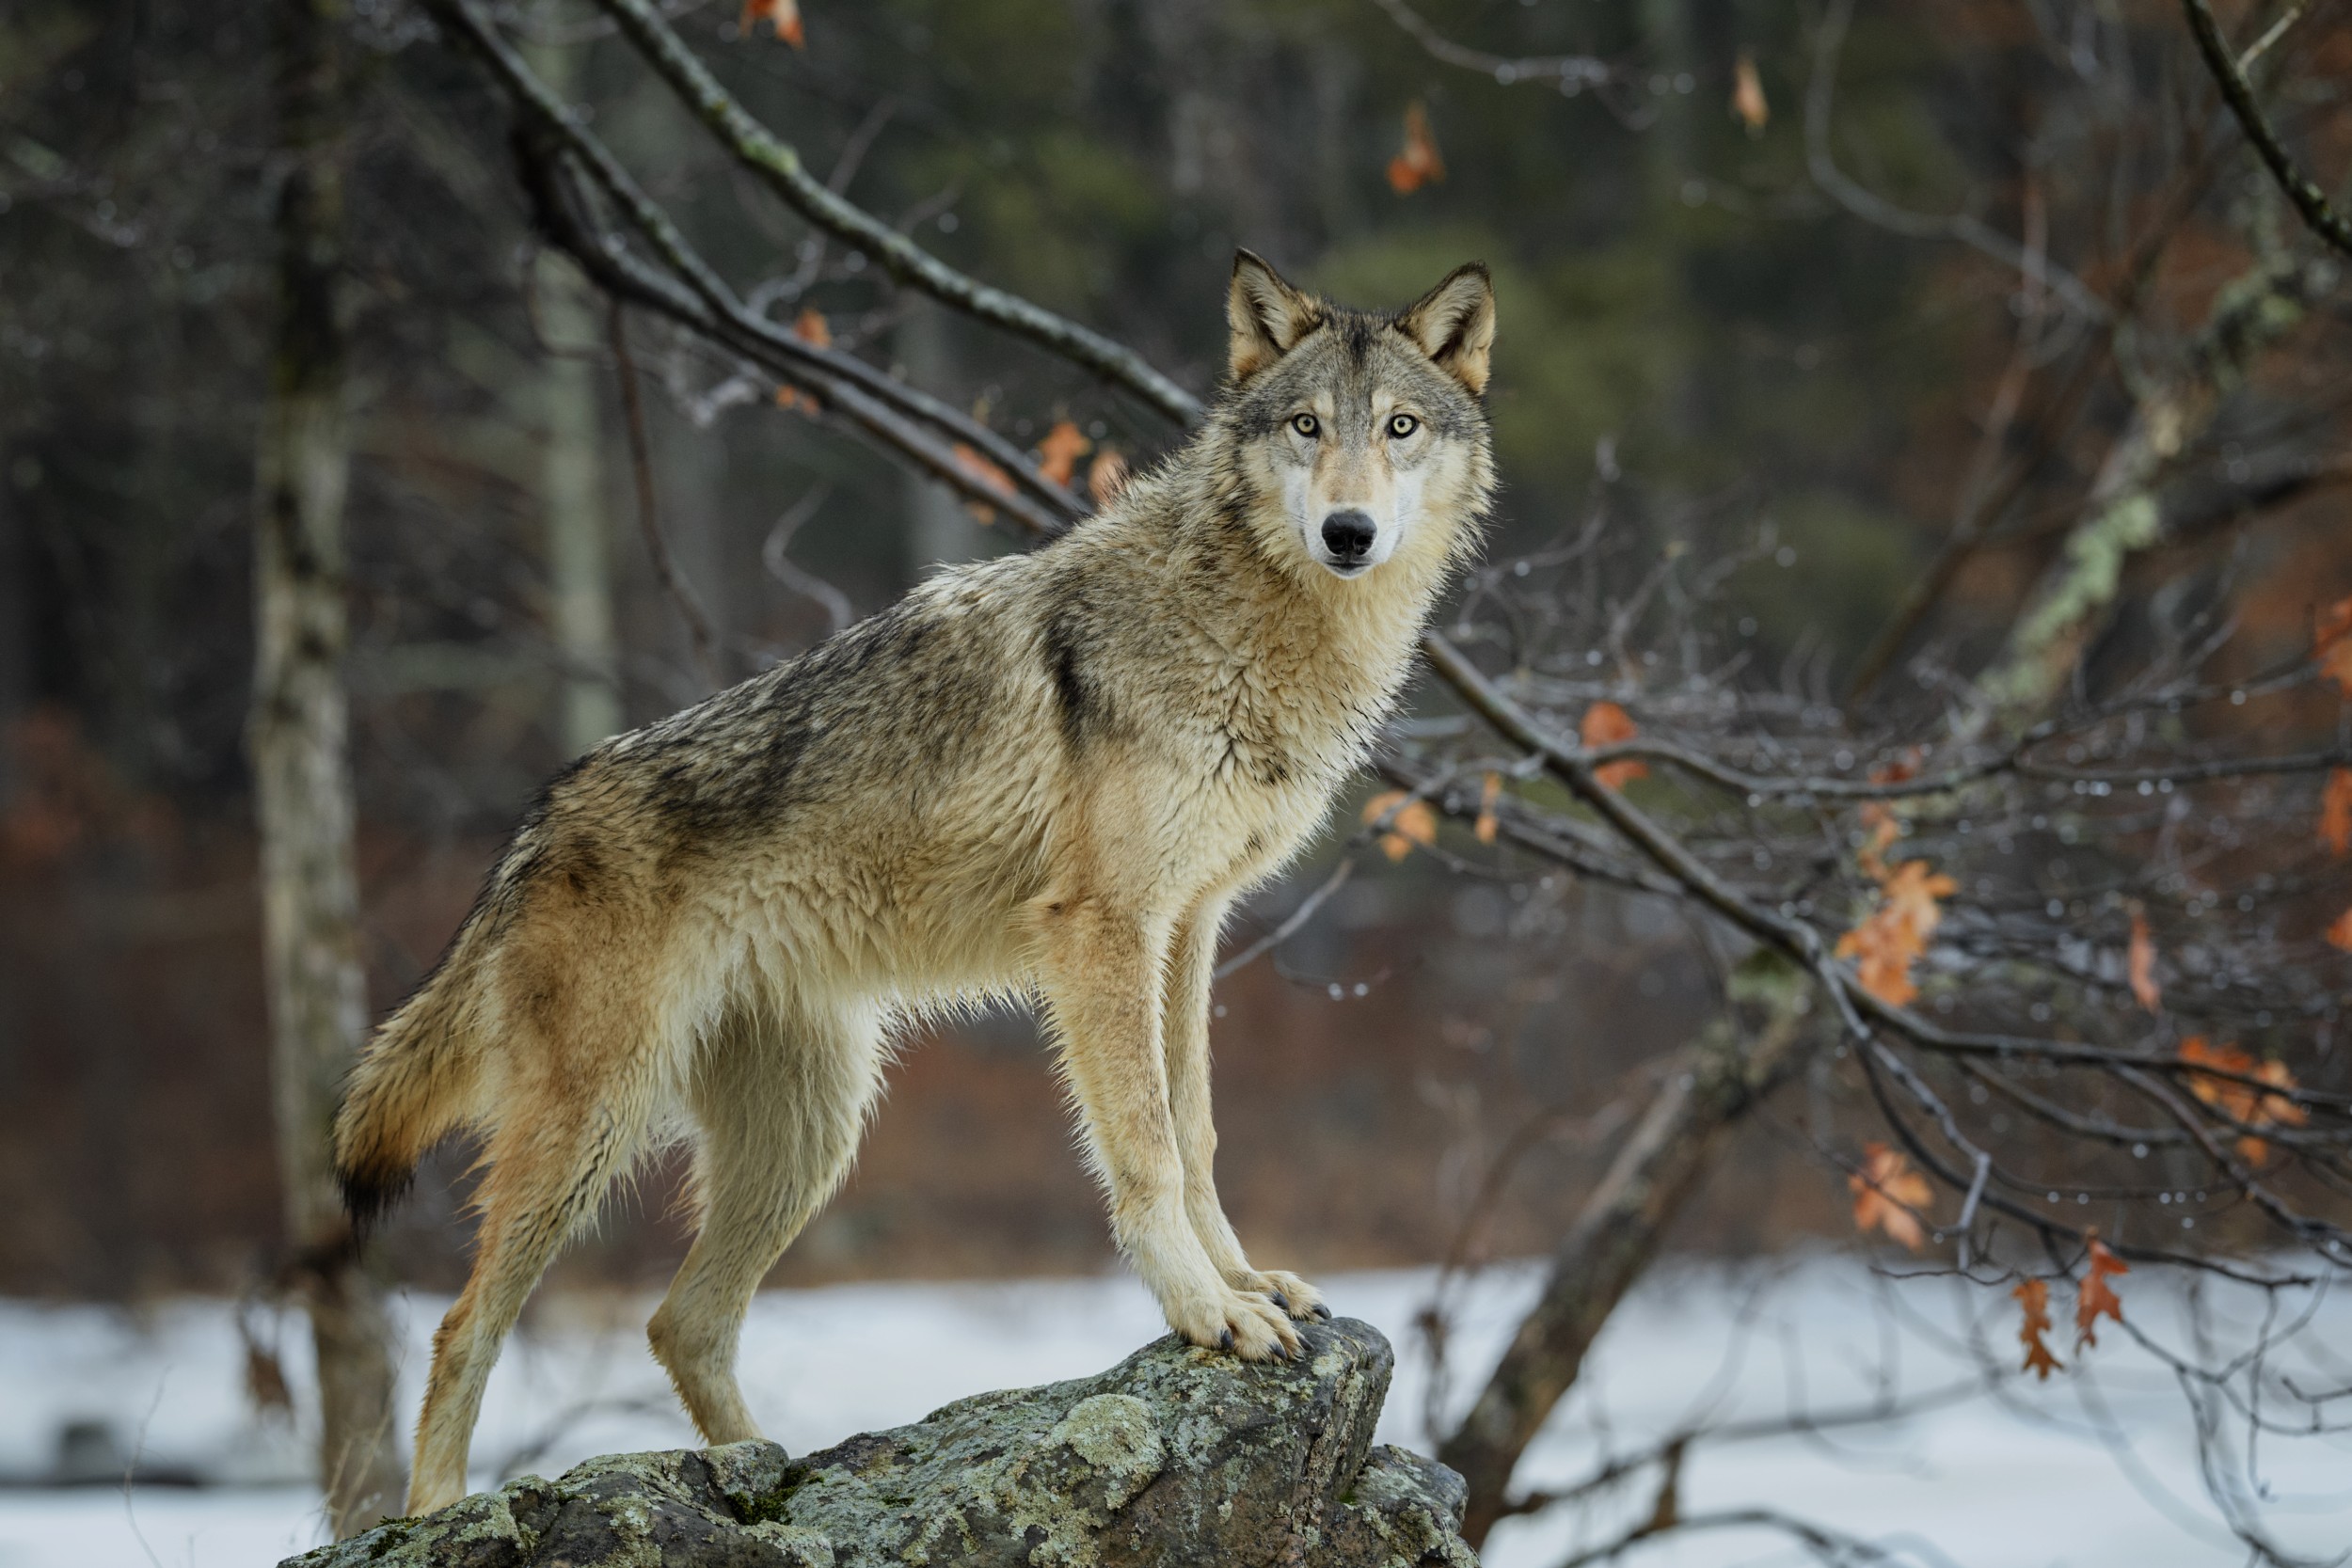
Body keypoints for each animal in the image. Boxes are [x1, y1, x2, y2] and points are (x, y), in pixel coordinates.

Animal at [333, 250, 1497, 1513]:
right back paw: (440, 1508)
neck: (1249, 622)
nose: (1348, 529)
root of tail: (533, 822)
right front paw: (1204, 1312)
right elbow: (1143, 1146)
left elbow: (1195, 1131)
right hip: (594, 1129)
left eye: (1397, 427)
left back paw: (764, 1476)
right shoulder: (1102, 927)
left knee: (679, 1320)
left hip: (812, 1134)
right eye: (1305, 425)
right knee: (461, 1325)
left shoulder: (1189, 926)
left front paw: (1242, 1281)